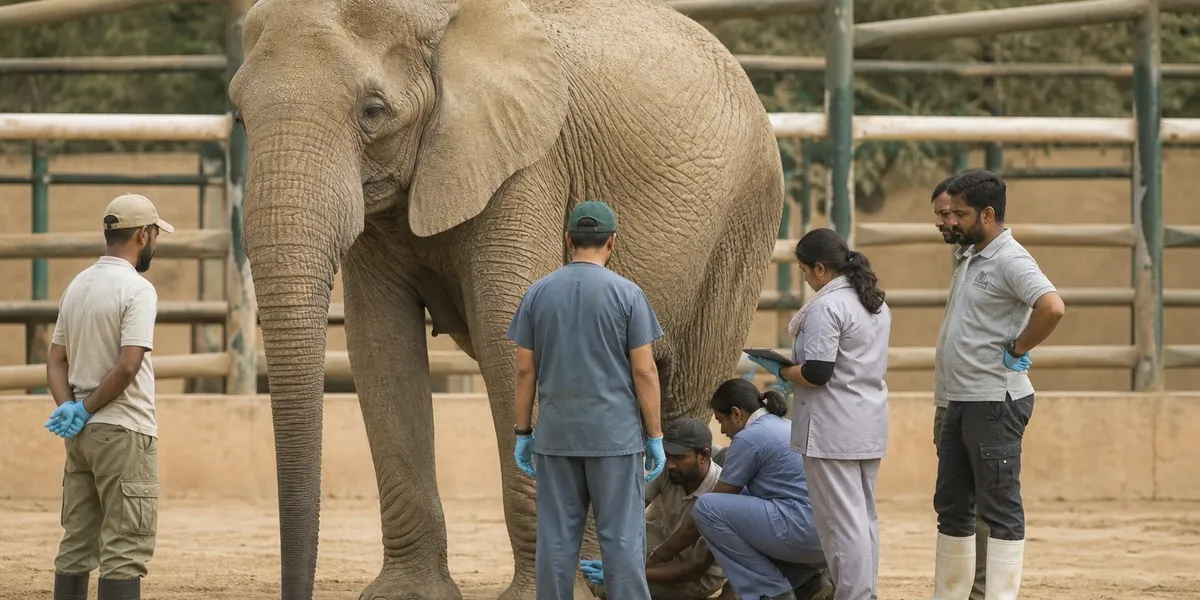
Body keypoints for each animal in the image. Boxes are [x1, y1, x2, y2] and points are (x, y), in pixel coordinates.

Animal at [226, 0, 784, 598]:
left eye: (373, 111)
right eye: (239, 116)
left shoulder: (528, 169)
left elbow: (507, 342)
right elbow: (380, 350)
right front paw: (407, 594)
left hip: (742, 223)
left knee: (685, 387)